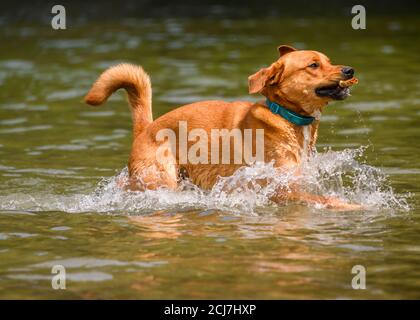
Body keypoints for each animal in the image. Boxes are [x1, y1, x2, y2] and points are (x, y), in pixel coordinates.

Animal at [84, 45, 358, 210]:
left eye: (328, 61)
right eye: (313, 65)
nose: (349, 69)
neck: (284, 115)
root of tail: (147, 128)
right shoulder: (281, 188)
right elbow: (330, 200)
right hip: (161, 180)